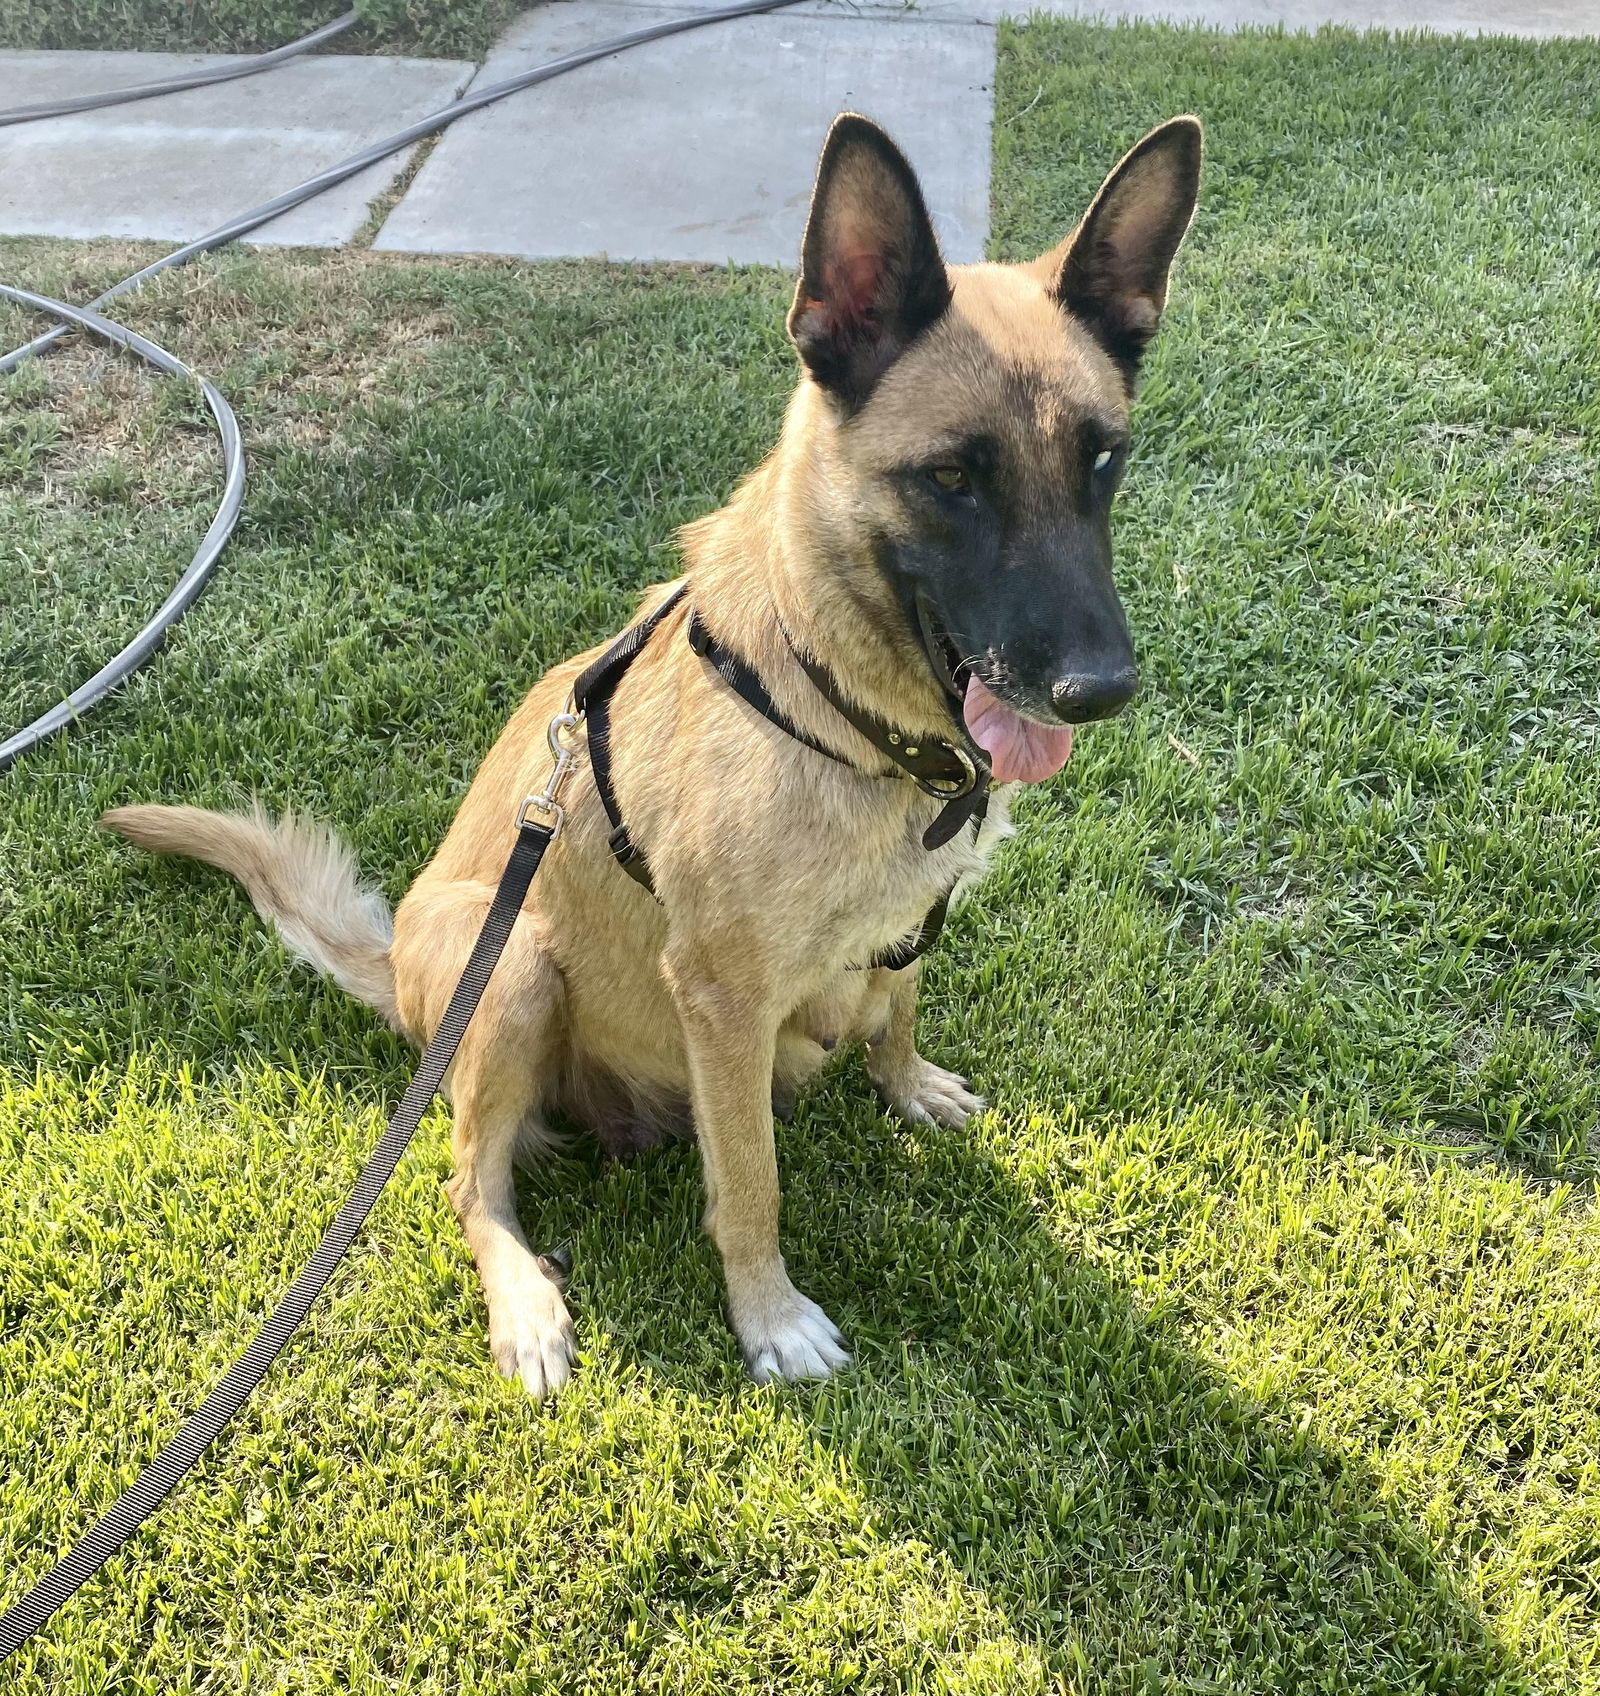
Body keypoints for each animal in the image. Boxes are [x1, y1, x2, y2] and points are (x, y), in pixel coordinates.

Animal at [106, 112, 1201, 1397]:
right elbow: (751, 1182)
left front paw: (906, 1083)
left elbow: (897, 1005)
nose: (1101, 689)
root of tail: (402, 976)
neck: (836, 708)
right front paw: (769, 1315)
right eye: (949, 477)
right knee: (469, 1180)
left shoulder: (903, 929)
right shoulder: (722, 1001)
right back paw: (526, 1305)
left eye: (1102, 460)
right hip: (515, 967)